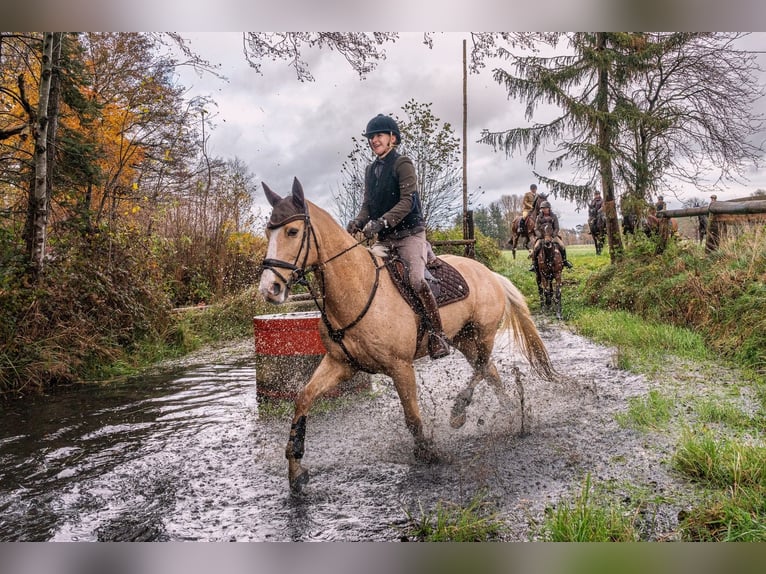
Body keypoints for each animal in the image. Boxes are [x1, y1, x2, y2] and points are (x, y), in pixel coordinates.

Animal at [258, 179, 560, 496]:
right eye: (268, 232)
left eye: (292, 231)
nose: (269, 289)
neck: (357, 288)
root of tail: (490, 274)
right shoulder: (340, 363)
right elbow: (303, 398)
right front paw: (296, 470)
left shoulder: (400, 367)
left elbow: (413, 417)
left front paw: (428, 452)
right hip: (463, 339)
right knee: (489, 370)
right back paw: (509, 412)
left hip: (483, 334)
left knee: (482, 366)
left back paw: (459, 411)